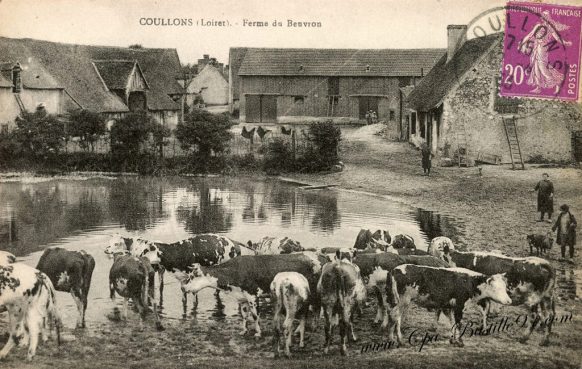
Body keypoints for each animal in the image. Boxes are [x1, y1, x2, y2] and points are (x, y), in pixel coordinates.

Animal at [176, 252, 326, 334]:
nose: (183, 288)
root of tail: (319, 257)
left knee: (316, 308)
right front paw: (244, 331)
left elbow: (254, 315)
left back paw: (309, 327)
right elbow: (244, 315)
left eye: (192, 276)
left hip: (313, 291)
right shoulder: (242, 297)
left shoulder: (252, 295)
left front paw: (258, 333)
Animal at [388, 264, 516, 344]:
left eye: (504, 287)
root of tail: (396, 269)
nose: (509, 301)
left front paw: (453, 340)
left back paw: (392, 338)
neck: (470, 282)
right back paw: (398, 339)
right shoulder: (459, 306)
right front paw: (459, 341)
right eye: (495, 288)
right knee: (396, 316)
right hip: (403, 301)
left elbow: (452, 323)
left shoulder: (449, 306)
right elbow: (458, 323)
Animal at [432, 249, 560, 344]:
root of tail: (545, 264)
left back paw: (523, 338)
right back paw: (544, 340)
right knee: (549, 316)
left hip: (532, 300)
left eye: (442, 256)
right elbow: (486, 310)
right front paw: (483, 328)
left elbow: (484, 310)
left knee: (535, 317)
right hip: (546, 298)